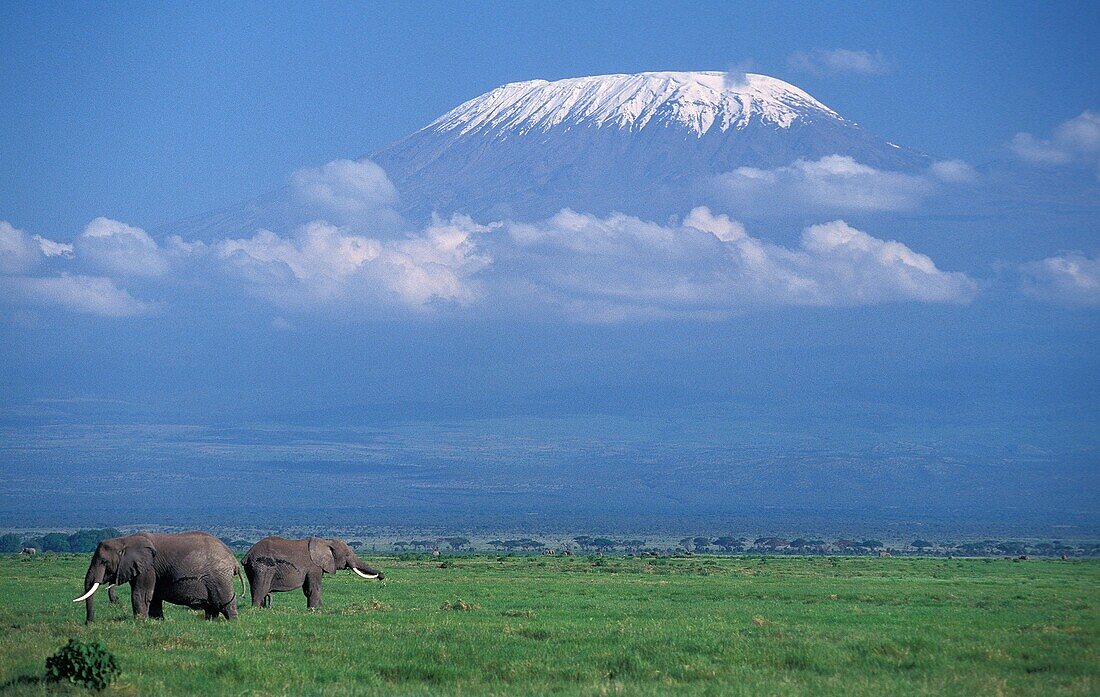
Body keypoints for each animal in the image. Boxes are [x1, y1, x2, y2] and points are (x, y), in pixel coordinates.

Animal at [71, 529, 243, 620]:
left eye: (104, 562)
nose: (89, 623)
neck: (125, 540)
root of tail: (233, 558)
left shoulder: (148, 567)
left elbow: (141, 594)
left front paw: (140, 622)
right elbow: (153, 597)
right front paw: (157, 621)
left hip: (219, 577)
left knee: (224, 601)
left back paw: (232, 622)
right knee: (212, 607)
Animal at [243, 534, 385, 606]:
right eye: (347, 555)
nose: (381, 575)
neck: (326, 542)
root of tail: (247, 556)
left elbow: (308, 589)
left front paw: (319, 609)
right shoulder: (314, 567)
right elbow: (314, 588)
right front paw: (315, 610)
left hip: (253, 569)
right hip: (262, 567)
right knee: (260, 590)